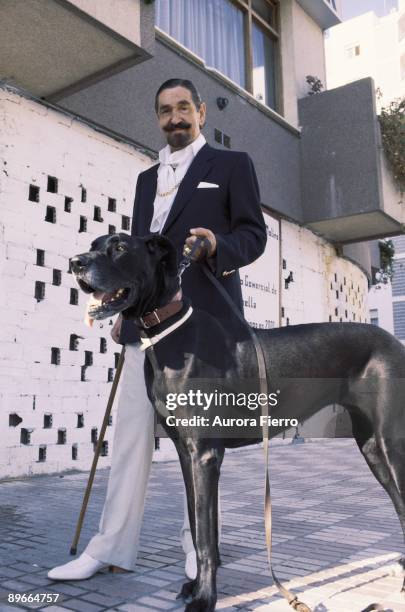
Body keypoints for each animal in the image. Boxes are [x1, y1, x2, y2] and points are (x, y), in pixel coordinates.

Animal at [71, 233, 404, 612]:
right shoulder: (187, 455)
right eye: (93, 244)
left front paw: (204, 598)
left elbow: (204, 536)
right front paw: (196, 587)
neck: (166, 333)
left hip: (392, 443)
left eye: (120, 248)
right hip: (372, 447)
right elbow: (201, 528)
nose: (76, 262)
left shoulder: (205, 455)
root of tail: (395, 342)